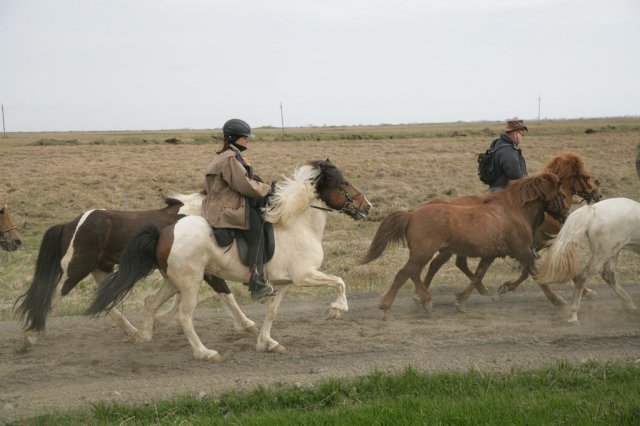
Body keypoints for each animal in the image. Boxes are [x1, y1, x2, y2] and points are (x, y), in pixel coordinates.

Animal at [14, 191, 205, 352]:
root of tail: (69, 225)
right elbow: (180, 296)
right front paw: (158, 322)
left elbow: (178, 295)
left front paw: (156, 323)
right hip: (77, 267)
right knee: (57, 293)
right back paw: (31, 336)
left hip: (101, 268)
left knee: (105, 299)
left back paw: (132, 332)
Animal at [87, 161, 372, 362]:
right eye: (344, 182)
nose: (367, 207)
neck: (296, 223)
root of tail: (163, 233)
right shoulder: (305, 275)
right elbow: (339, 282)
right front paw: (336, 310)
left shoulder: (283, 282)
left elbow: (272, 312)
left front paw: (266, 343)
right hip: (190, 284)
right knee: (184, 316)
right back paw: (205, 352)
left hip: (173, 282)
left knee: (150, 303)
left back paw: (143, 336)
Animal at [362, 172, 564, 316]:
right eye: (560, 193)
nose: (564, 216)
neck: (513, 210)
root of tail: (412, 214)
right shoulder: (523, 252)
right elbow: (536, 275)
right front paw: (558, 300)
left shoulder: (490, 255)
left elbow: (477, 276)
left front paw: (461, 301)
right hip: (423, 253)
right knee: (404, 274)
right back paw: (388, 304)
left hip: (423, 253)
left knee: (415, 273)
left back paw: (425, 299)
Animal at [420, 151, 600, 308]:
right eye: (586, 176)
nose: (597, 194)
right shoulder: (537, 245)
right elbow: (532, 271)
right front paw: (585, 291)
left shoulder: (530, 248)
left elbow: (528, 270)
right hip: (448, 249)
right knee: (436, 264)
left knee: (460, 264)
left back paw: (479, 290)